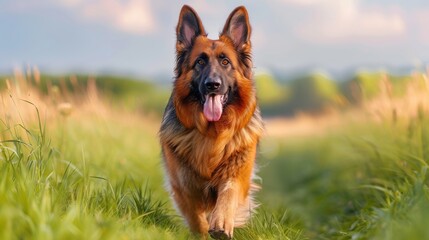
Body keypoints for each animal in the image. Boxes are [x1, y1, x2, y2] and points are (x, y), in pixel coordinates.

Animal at [159, 4, 262, 239]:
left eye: (225, 62)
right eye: (200, 62)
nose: (212, 85)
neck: (212, 133)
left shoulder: (237, 174)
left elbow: (228, 194)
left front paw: (222, 223)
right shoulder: (184, 186)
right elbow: (197, 220)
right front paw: (203, 232)